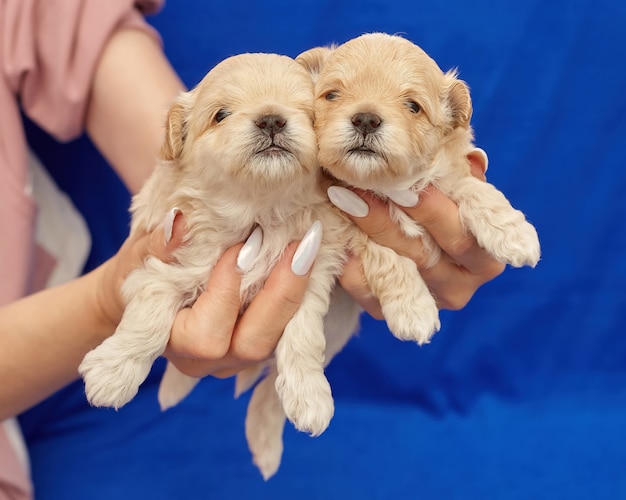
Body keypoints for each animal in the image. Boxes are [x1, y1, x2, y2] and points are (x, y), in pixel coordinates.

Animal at [78, 52, 360, 442]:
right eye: (221, 115)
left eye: (309, 112)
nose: (271, 118)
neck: (259, 211)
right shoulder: (163, 265)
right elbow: (148, 316)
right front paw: (112, 373)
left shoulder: (310, 274)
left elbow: (304, 338)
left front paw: (310, 396)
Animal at [294, 30, 540, 344]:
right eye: (332, 95)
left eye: (413, 107)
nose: (366, 119)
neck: (390, 187)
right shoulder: (345, 221)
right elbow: (386, 255)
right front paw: (413, 310)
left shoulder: (450, 173)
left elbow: (473, 188)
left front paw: (515, 234)